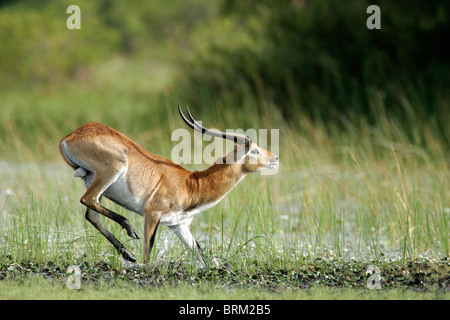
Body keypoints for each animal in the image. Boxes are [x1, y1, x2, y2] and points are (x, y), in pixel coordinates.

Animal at [58, 105, 280, 264]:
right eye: (254, 150)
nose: (275, 157)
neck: (191, 184)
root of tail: (70, 136)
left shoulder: (179, 224)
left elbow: (200, 254)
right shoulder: (152, 213)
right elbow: (148, 253)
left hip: (90, 178)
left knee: (91, 213)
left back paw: (128, 254)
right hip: (111, 170)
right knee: (88, 200)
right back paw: (129, 230)